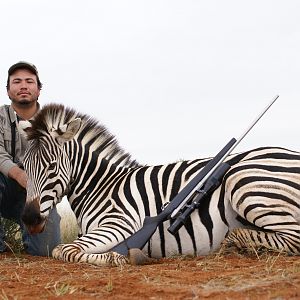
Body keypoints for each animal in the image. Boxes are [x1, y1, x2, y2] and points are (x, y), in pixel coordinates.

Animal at [19, 104, 300, 266]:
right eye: (24, 166)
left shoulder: (119, 224)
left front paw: (115, 257)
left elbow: (63, 249)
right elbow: (67, 247)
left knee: (294, 238)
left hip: (244, 184)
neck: (100, 185)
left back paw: (236, 244)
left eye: (52, 167)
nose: (30, 219)